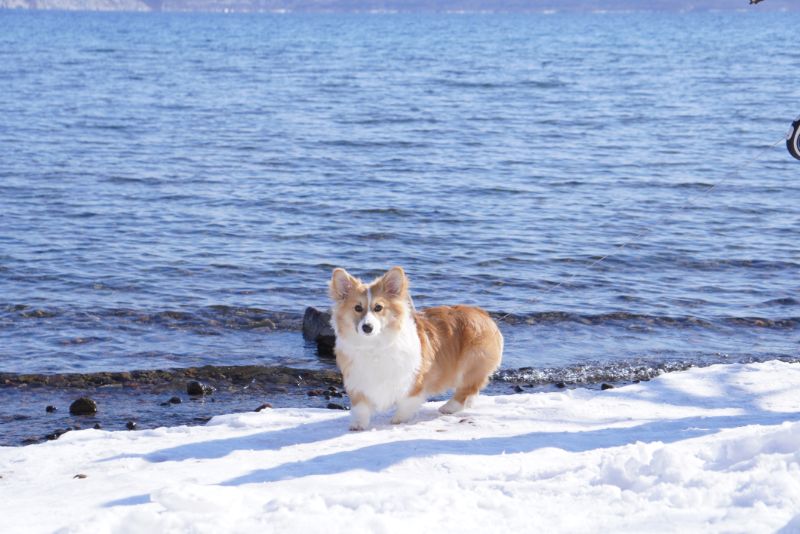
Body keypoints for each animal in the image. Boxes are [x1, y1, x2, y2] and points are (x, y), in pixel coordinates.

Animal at [328, 268, 504, 432]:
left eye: (378, 307)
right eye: (358, 308)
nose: (367, 327)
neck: (374, 344)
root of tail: (484, 314)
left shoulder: (414, 380)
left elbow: (407, 402)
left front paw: (398, 420)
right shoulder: (358, 381)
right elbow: (360, 408)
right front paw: (358, 425)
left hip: (470, 365)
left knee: (467, 389)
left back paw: (448, 407)